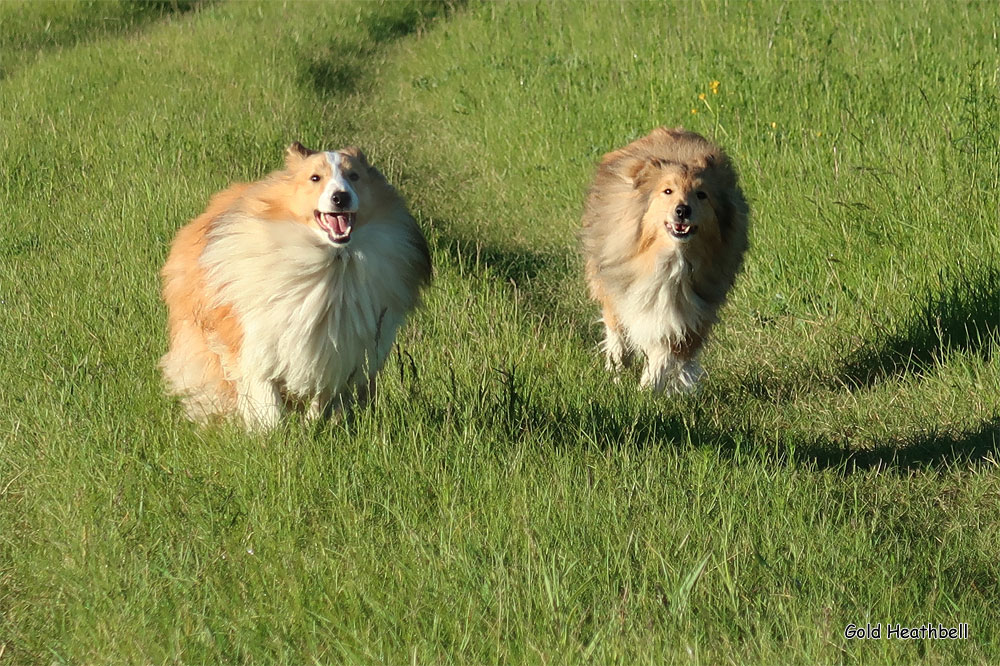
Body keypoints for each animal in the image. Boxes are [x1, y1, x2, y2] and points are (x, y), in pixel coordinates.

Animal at [159, 142, 430, 428]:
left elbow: (323, 398)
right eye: (315, 177)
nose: (341, 197)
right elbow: (266, 397)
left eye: (354, 176)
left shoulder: (342, 355)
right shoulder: (255, 343)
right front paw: (272, 431)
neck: (332, 263)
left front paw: (313, 426)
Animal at [580, 127, 752, 392]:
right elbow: (618, 333)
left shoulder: (691, 312)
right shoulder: (619, 287)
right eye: (667, 191)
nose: (682, 210)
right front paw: (618, 372)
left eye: (701, 194)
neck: (671, 259)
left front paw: (647, 390)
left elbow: (665, 354)